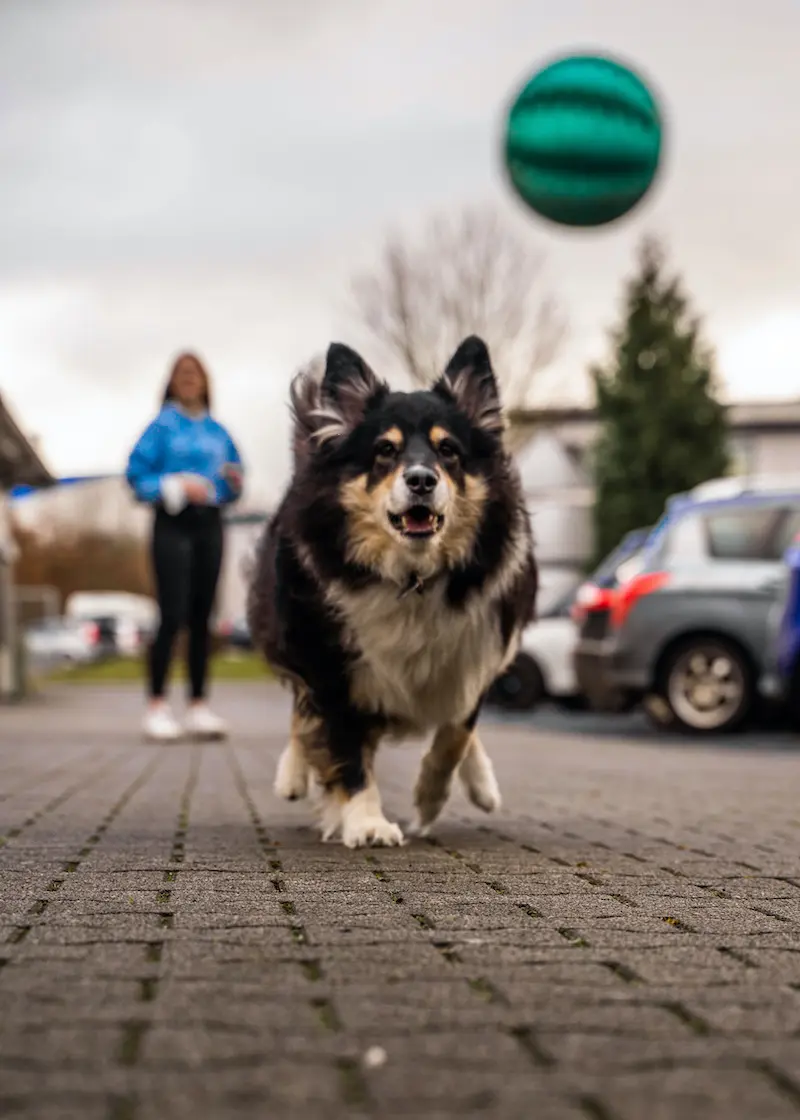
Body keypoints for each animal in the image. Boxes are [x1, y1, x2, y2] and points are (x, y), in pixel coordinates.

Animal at [248, 336, 535, 842]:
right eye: (385, 449)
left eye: (448, 450)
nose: (421, 479)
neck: (411, 576)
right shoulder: (328, 662)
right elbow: (344, 747)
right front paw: (366, 822)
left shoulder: (475, 650)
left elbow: (456, 732)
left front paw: (428, 800)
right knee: (301, 709)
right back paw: (292, 774)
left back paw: (482, 785)